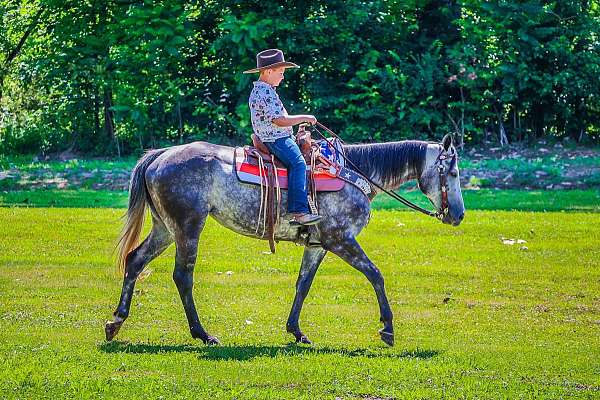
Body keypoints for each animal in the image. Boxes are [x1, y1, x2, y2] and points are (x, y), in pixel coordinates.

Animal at [106, 134, 464, 346]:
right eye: (453, 172)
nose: (458, 215)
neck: (357, 174)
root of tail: (160, 155)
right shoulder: (341, 239)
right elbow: (376, 275)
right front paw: (387, 328)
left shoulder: (318, 246)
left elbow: (303, 284)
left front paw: (296, 331)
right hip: (188, 227)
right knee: (183, 276)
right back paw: (203, 334)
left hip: (165, 228)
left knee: (135, 260)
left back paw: (116, 322)